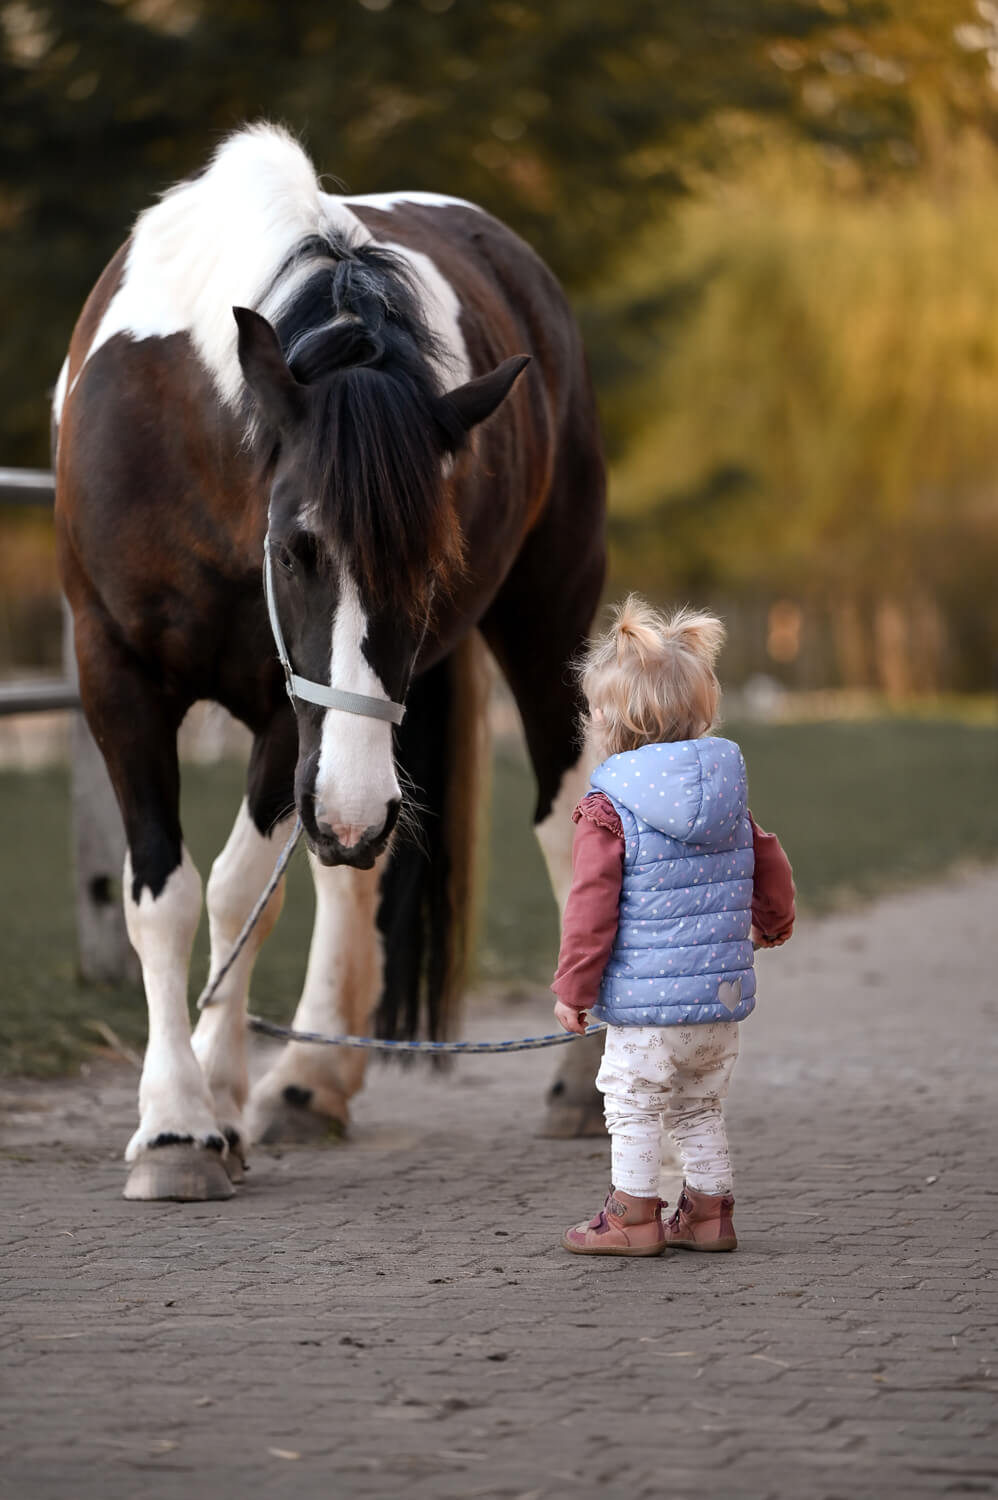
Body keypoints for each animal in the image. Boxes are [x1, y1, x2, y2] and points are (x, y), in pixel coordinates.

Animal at [53, 123, 606, 1201]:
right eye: (296, 549)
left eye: (431, 562)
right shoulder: (117, 676)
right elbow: (163, 897)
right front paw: (183, 1120)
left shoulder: (286, 712)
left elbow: (237, 893)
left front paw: (206, 1107)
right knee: (351, 870)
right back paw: (308, 1082)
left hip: (539, 623)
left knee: (560, 820)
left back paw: (579, 1085)